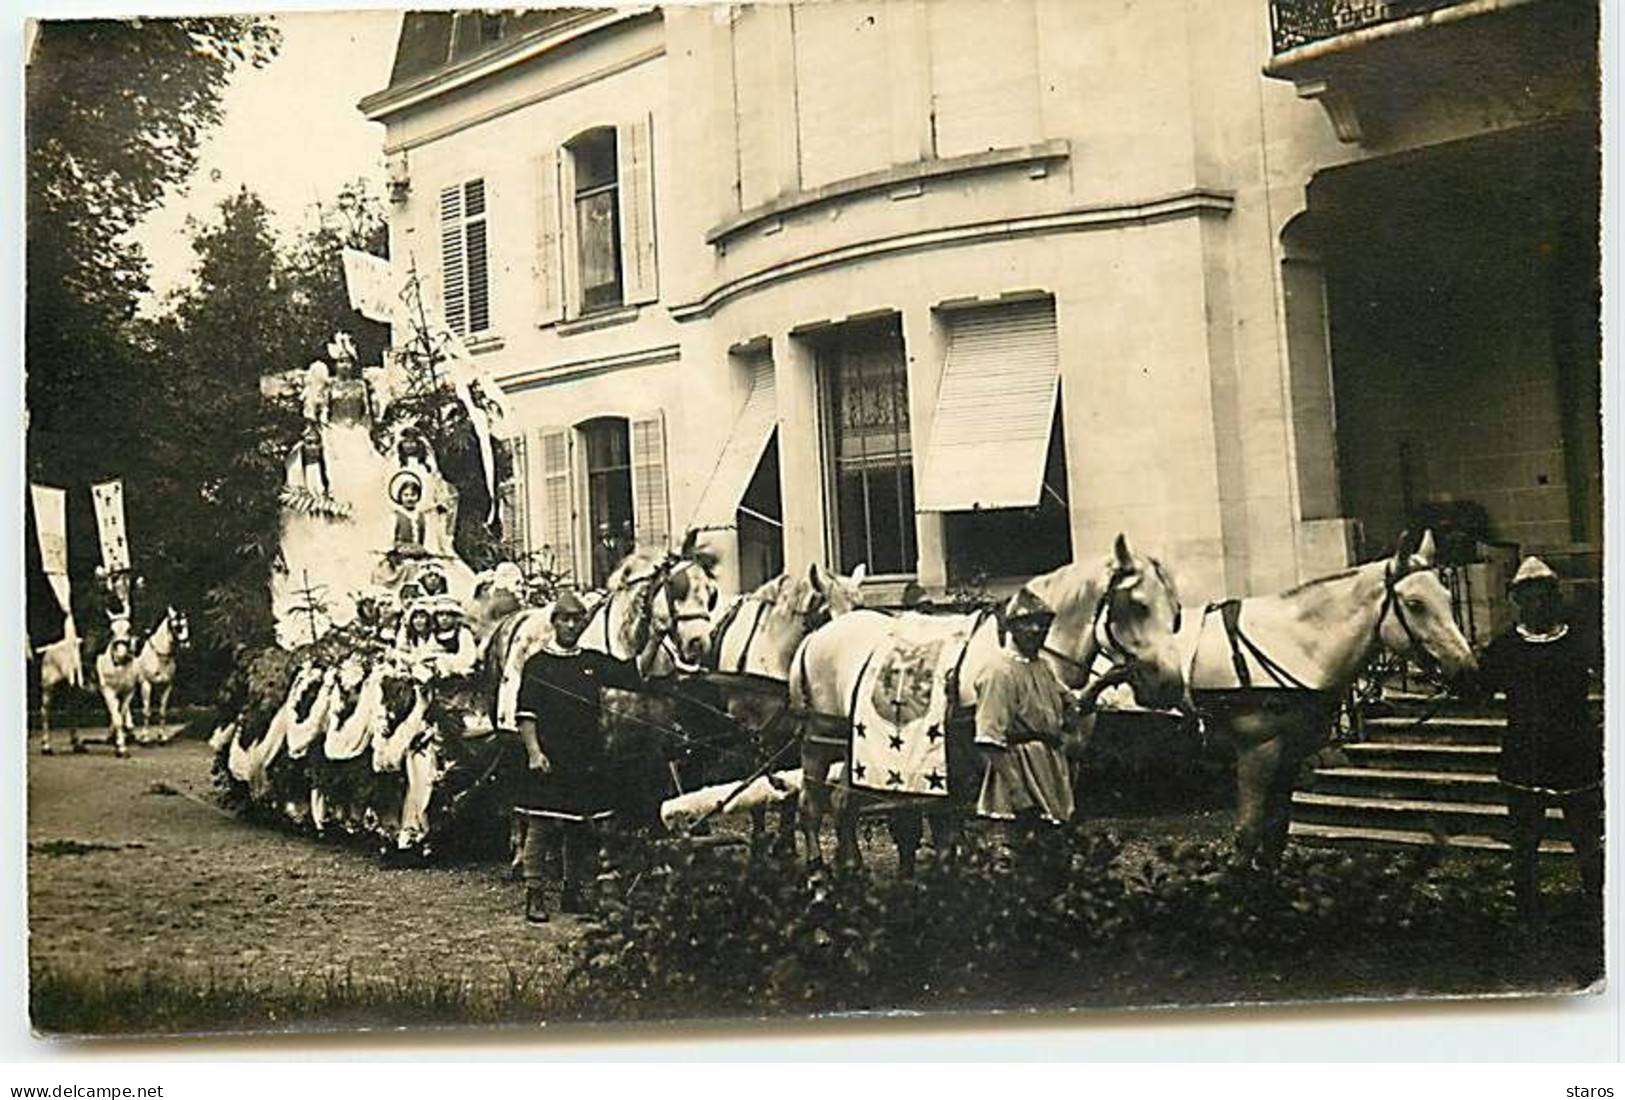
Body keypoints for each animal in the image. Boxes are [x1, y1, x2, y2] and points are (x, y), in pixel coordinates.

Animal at [134, 604, 188, 734]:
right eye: (176, 626)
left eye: (185, 624)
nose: (186, 644)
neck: (159, 656)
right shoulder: (146, 684)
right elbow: (146, 711)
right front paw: (145, 735)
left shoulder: (166, 685)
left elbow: (162, 711)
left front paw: (162, 735)